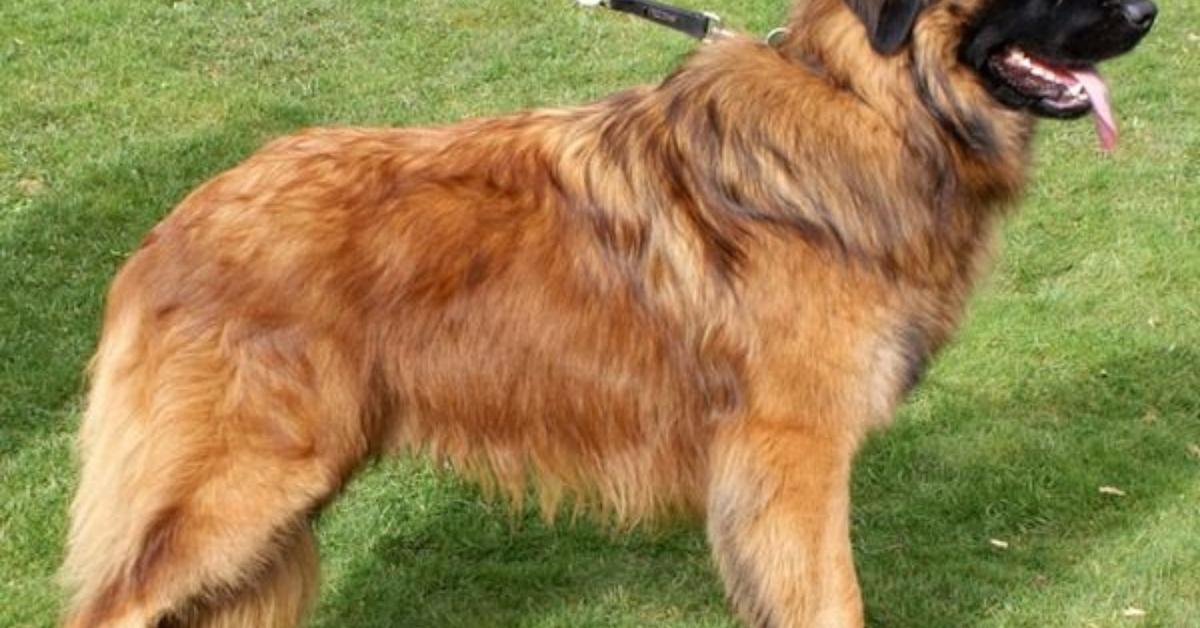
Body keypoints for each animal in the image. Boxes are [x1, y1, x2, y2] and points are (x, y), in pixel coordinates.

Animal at [63, 0, 1152, 624]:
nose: (1147, 12)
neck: (869, 105)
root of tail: (173, 226)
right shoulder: (796, 456)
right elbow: (833, 600)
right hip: (242, 491)